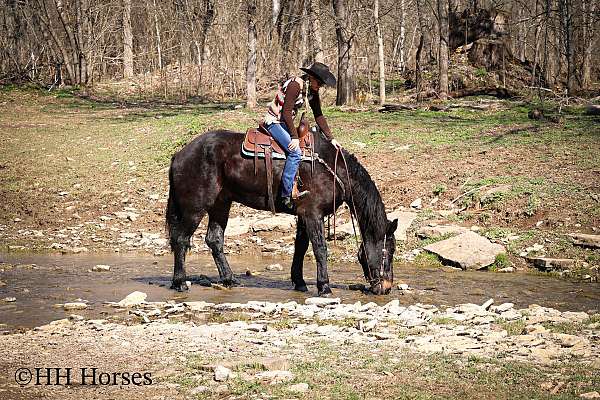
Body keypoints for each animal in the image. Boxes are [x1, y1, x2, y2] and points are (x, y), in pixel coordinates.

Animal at [165, 126, 398, 296]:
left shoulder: (304, 216)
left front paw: (300, 282)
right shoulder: (313, 214)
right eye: (388, 251)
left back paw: (229, 279)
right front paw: (324, 286)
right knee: (181, 239)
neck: (332, 169)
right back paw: (180, 282)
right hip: (195, 207)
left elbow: (300, 248)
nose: (386, 288)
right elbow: (320, 249)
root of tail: (179, 154)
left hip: (221, 204)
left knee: (214, 240)